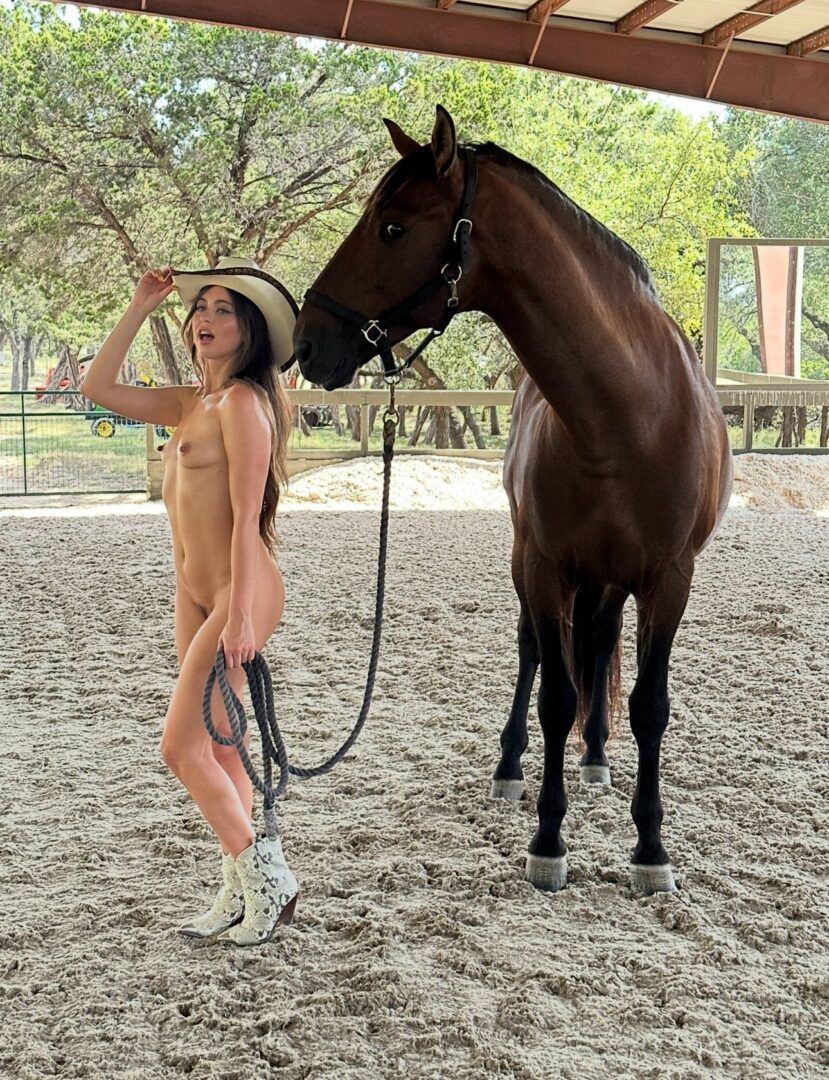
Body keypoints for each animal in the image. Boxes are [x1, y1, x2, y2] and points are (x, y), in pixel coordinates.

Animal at [293, 106, 733, 896]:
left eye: (392, 228)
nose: (309, 343)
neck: (629, 414)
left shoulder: (668, 580)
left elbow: (648, 707)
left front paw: (650, 849)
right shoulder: (545, 567)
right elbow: (554, 694)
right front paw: (549, 838)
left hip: (608, 580)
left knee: (598, 645)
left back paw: (597, 758)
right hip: (535, 566)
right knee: (536, 652)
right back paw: (511, 766)